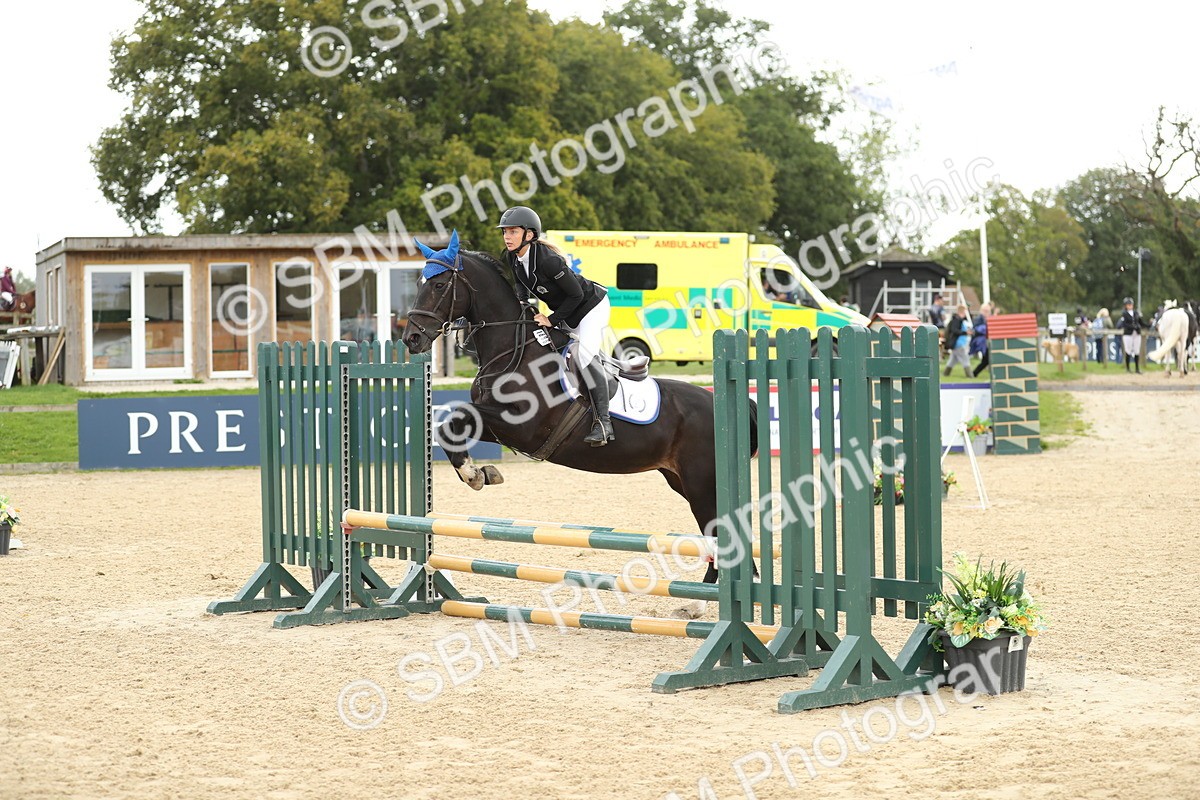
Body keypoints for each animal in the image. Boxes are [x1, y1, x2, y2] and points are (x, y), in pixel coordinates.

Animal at [400, 233, 757, 614]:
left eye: (439, 285)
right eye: (419, 283)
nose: (412, 339)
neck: (514, 348)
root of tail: (724, 401)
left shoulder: (522, 427)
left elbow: (458, 416)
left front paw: (474, 475)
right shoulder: (503, 428)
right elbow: (452, 423)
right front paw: (482, 473)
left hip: (701, 483)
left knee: (720, 534)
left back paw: (699, 606)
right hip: (682, 480)